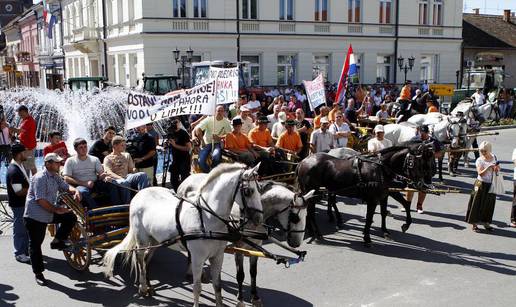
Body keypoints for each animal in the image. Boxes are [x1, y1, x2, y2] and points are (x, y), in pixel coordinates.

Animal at [102, 164, 262, 307]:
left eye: (260, 189)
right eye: (248, 191)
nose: (259, 219)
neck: (207, 218)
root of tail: (140, 193)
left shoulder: (218, 256)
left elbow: (217, 286)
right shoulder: (197, 258)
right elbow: (197, 288)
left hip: (155, 239)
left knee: (147, 259)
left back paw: (148, 285)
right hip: (142, 238)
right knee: (140, 258)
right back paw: (142, 287)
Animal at [177, 176, 314, 307]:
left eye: (307, 215)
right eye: (295, 218)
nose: (297, 243)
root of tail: (188, 178)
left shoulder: (256, 246)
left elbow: (253, 272)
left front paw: (255, 297)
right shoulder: (239, 248)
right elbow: (240, 274)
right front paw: (240, 300)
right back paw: (191, 272)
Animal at [296, 143, 434, 247]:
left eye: (428, 163)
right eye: (418, 163)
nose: (424, 185)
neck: (381, 169)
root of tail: (303, 161)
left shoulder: (385, 194)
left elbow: (393, 209)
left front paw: (395, 228)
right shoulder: (373, 199)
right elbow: (368, 217)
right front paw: (367, 238)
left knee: (312, 209)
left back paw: (314, 229)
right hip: (314, 191)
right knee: (312, 211)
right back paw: (319, 232)